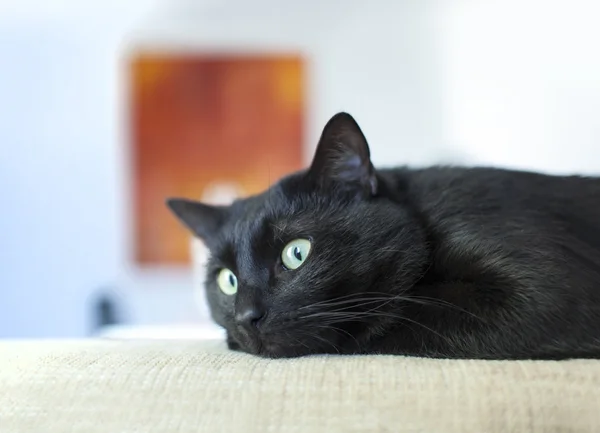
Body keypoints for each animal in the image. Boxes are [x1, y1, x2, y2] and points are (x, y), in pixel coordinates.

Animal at [166, 110, 600, 358]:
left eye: (296, 253)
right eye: (227, 280)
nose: (245, 318)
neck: (420, 215)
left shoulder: (543, 292)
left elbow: (391, 316)